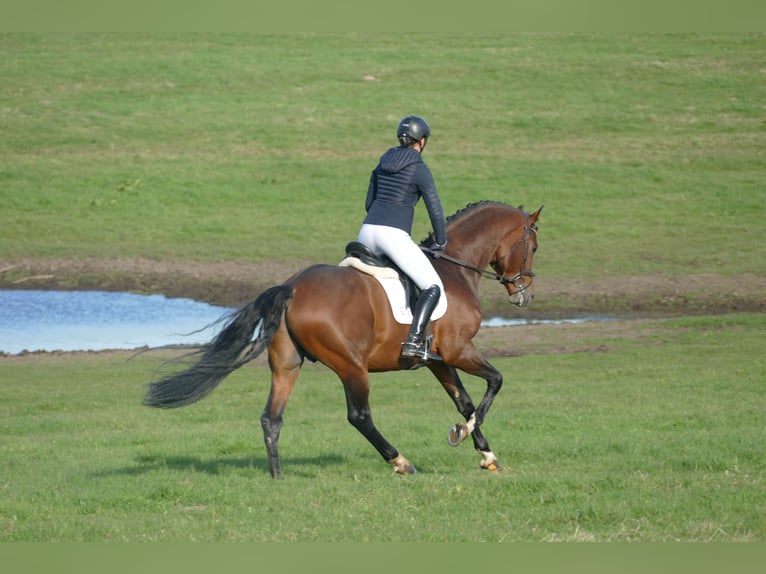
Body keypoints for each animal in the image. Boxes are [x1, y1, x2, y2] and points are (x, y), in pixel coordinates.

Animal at [146, 200, 544, 480]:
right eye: (534, 246)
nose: (524, 293)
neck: (455, 268)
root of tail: (293, 286)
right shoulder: (459, 350)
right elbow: (494, 382)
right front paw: (461, 434)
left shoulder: (439, 361)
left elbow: (464, 401)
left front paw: (487, 454)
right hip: (352, 365)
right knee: (359, 416)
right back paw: (401, 462)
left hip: (287, 364)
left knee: (271, 417)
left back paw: (278, 477)